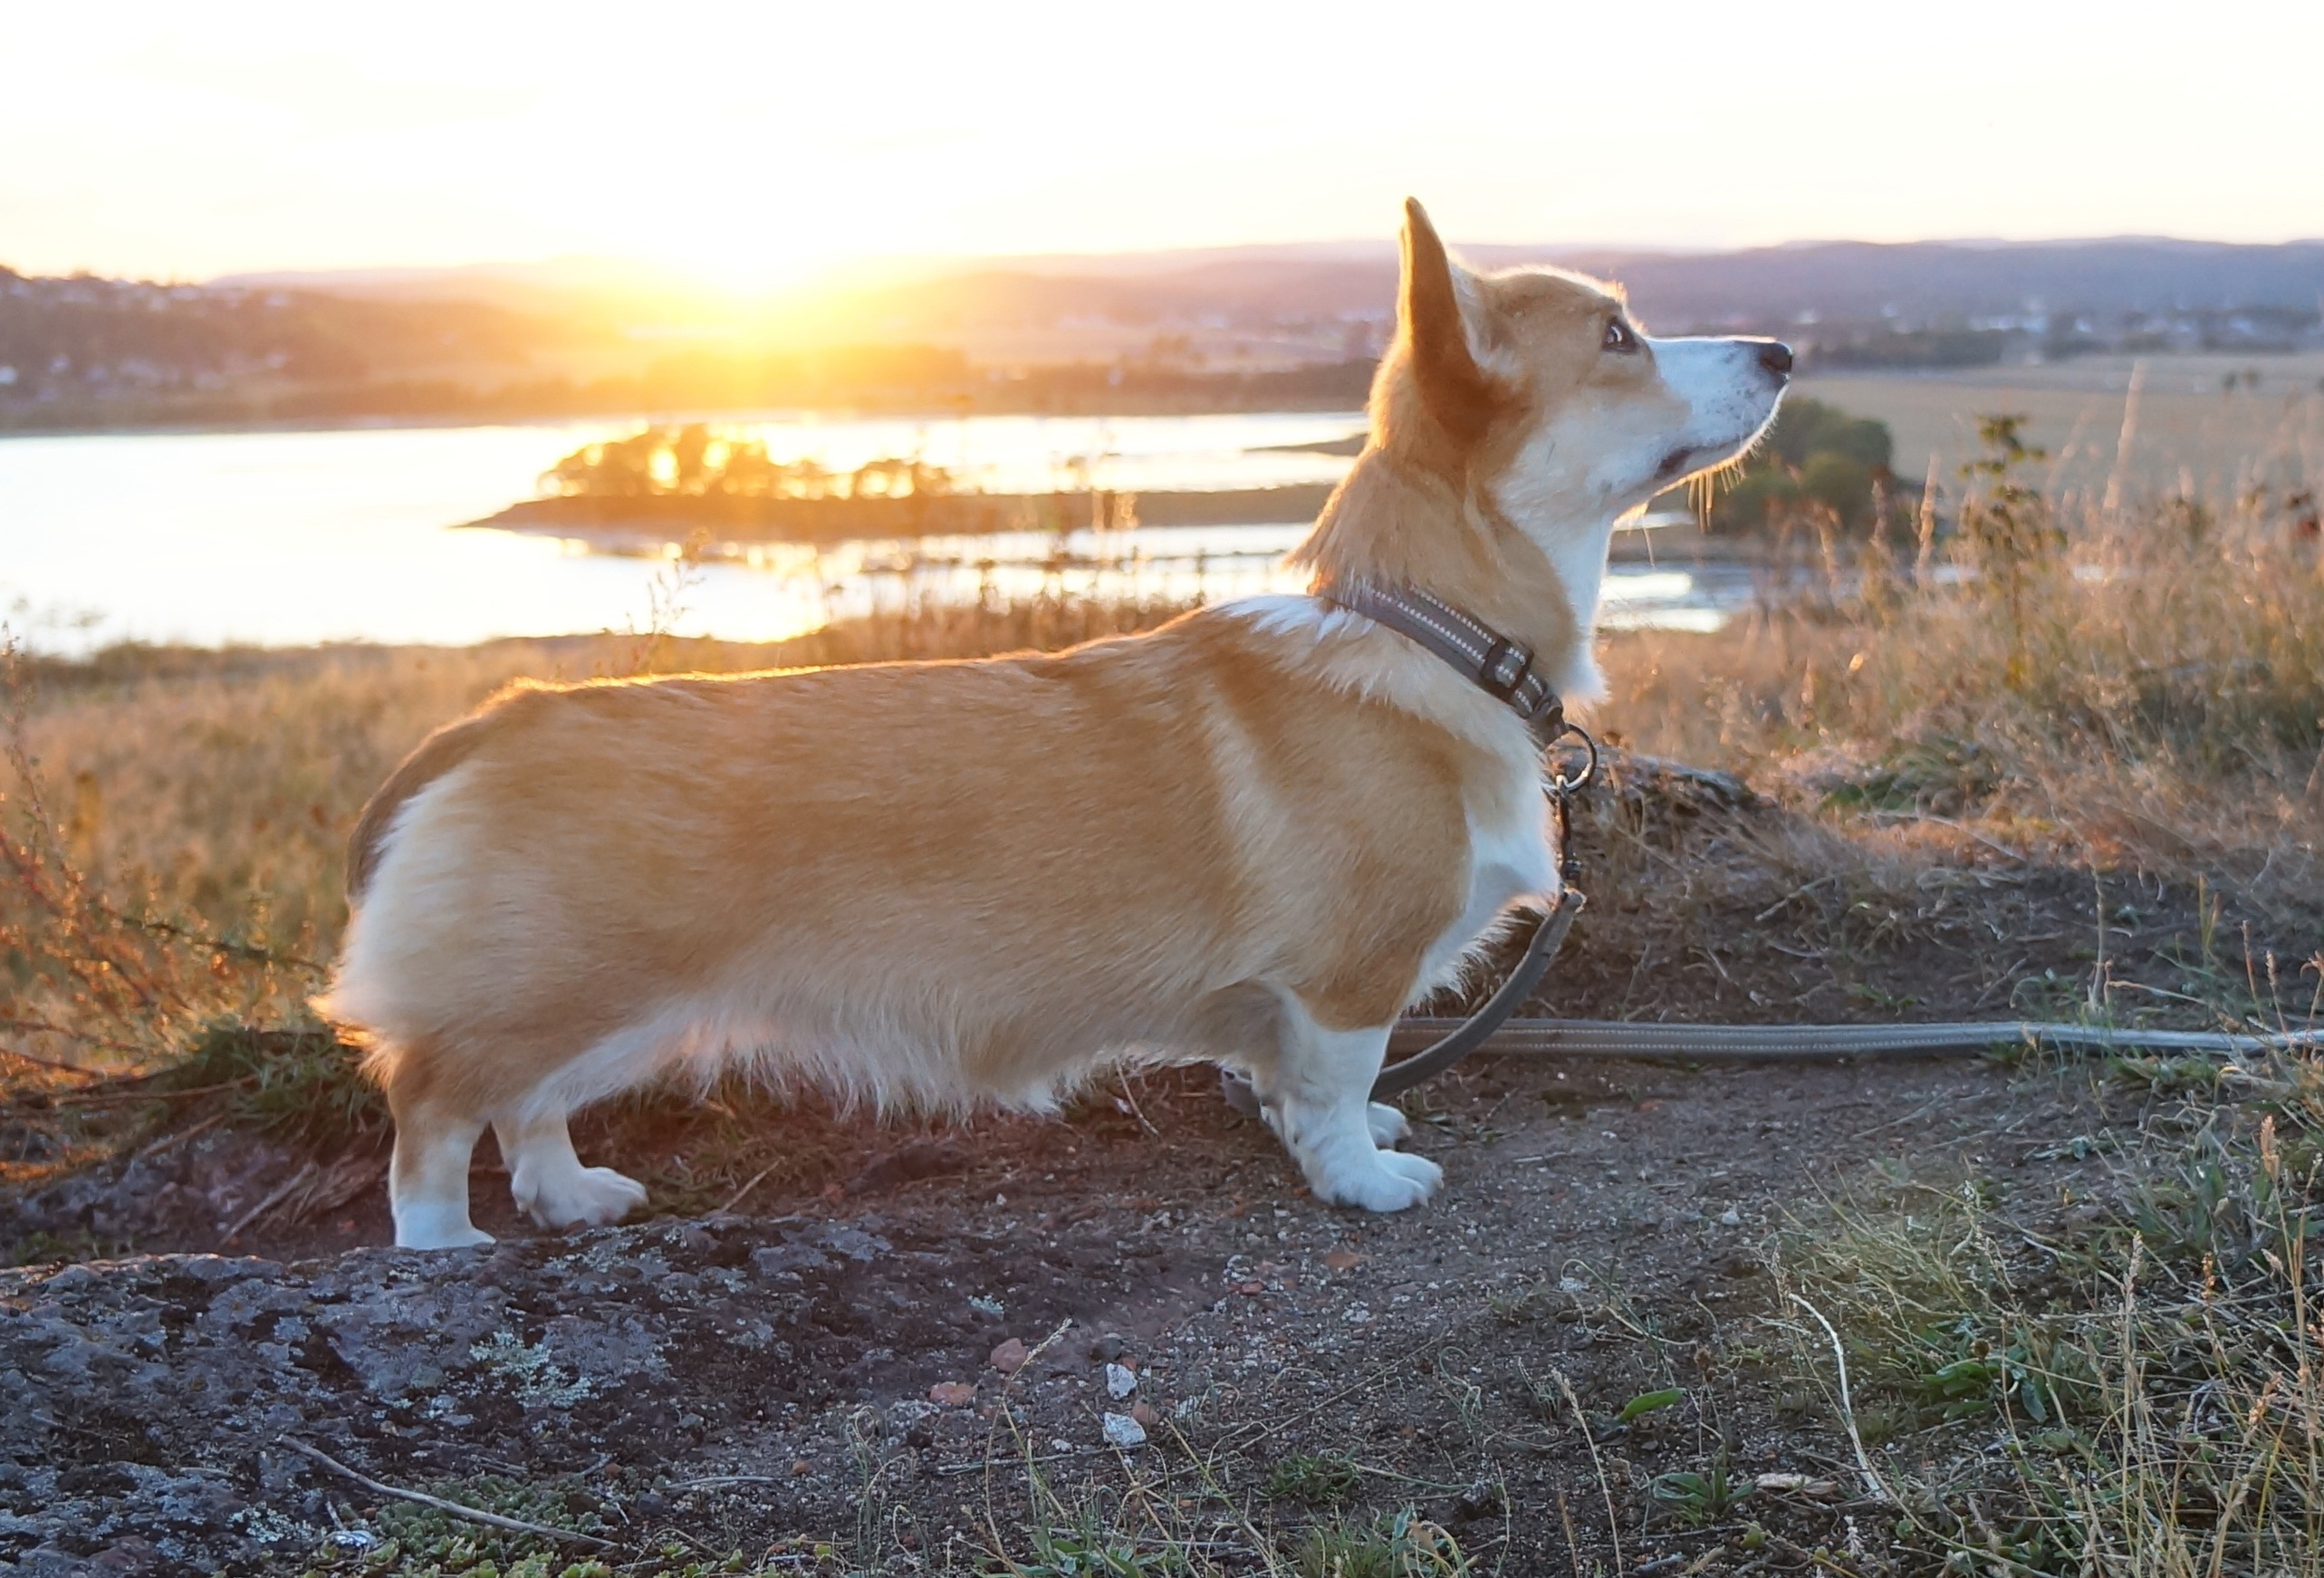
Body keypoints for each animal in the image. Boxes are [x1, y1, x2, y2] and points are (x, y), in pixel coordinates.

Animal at [318, 203, 1784, 1255]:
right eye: (1616, 337)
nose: (1780, 352)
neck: (1426, 628)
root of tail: (488, 728)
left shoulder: (1290, 1005)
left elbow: (1293, 1083)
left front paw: (1337, 1131)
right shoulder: (1344, 978)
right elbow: (1329, 1087)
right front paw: (1365, 1174)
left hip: (604, 1008)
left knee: (528, 1108)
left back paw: (571, 1199)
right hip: (568, 986)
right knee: (434, 1108)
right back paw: (444, 1246)